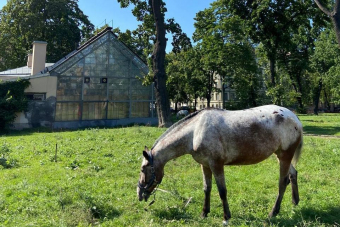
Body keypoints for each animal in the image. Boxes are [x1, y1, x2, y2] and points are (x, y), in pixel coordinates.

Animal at [137, 104, 302, 223]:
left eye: (143, 168)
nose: (139, 194)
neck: (195, 131)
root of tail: (295, 118)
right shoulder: (205, 165)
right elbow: (207, 188)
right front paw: (204, 213)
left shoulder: (216, 164)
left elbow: (222, 191)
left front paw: (226, 217)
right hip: (280, 155)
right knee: (293, 174)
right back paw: (295, 202)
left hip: (285, 156)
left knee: (283, 182)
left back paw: (273, 212)